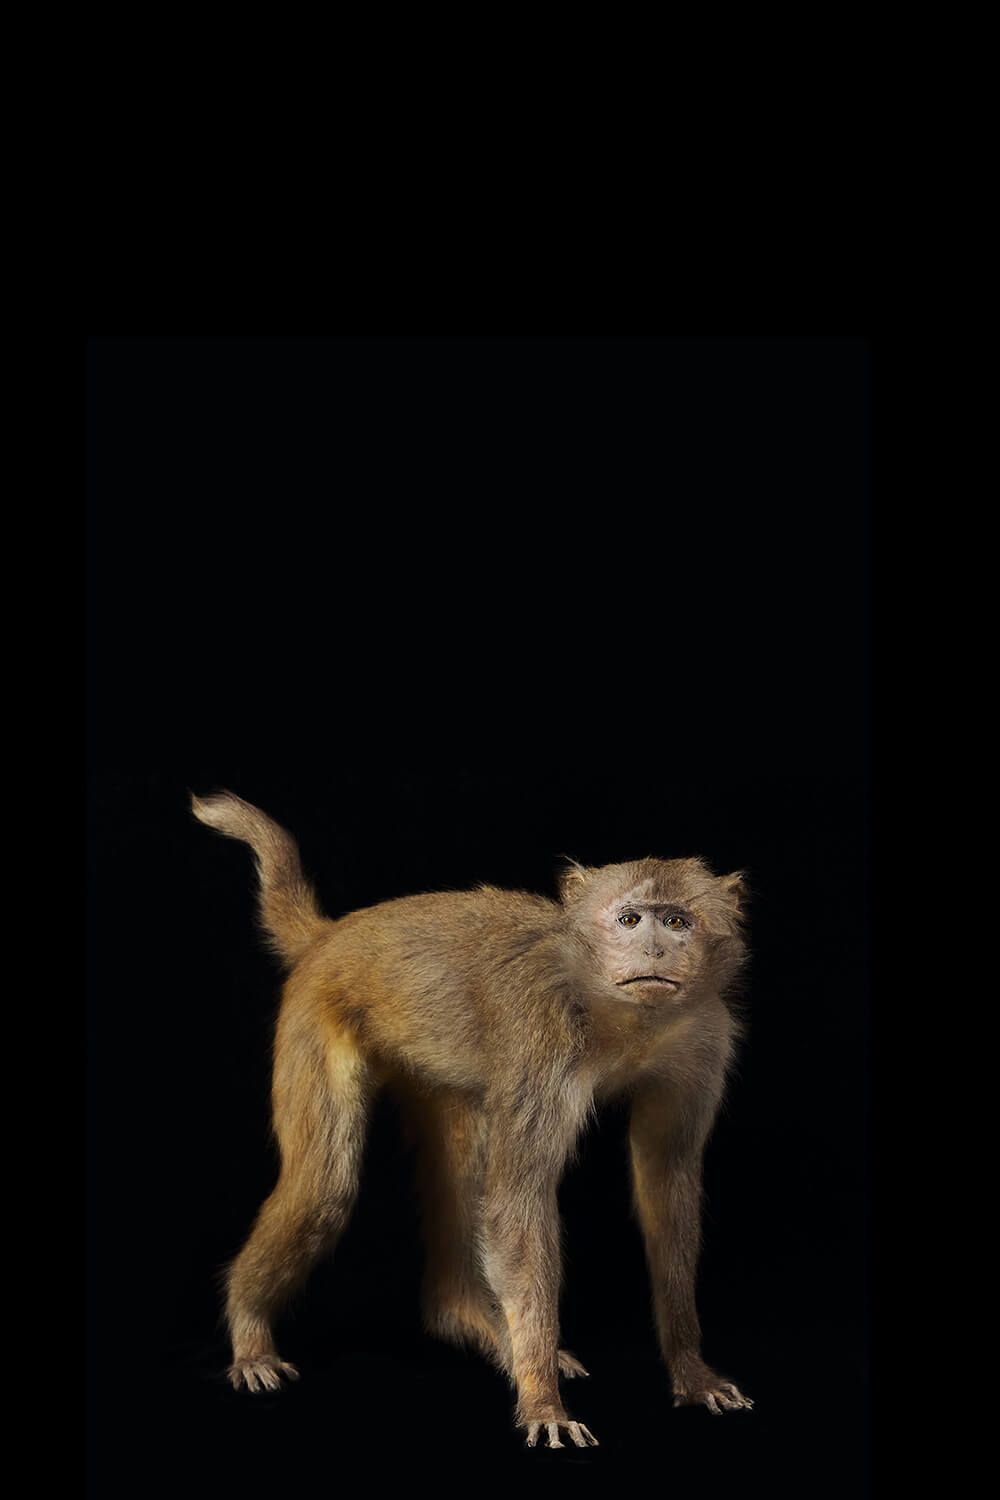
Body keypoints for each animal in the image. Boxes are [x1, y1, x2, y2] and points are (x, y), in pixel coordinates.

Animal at [191, 790, 753, 1449]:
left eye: (678, 922)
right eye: (630, 921)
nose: (656, 952)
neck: (622, 1015)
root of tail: (335, 934)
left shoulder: (702, 1040)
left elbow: (668, 1188)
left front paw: (690, 1369)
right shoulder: (544, 1033)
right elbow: (517, 1202)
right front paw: (541, 1396)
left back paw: (469, 1317)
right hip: (315, 1012)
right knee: (322, 1189)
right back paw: (252, 1331)